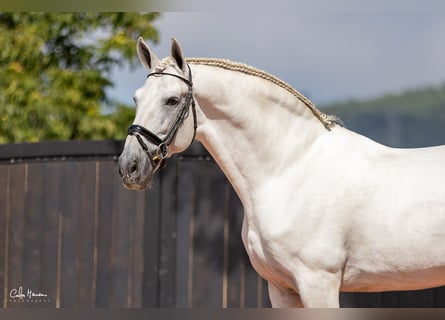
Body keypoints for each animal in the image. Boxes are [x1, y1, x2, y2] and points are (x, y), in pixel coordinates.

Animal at [118, 37, 444, 308]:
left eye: (172, 100)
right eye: (136, 98)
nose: (129, 167)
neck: (290, 169)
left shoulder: (318, 283)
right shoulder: (281, 288)